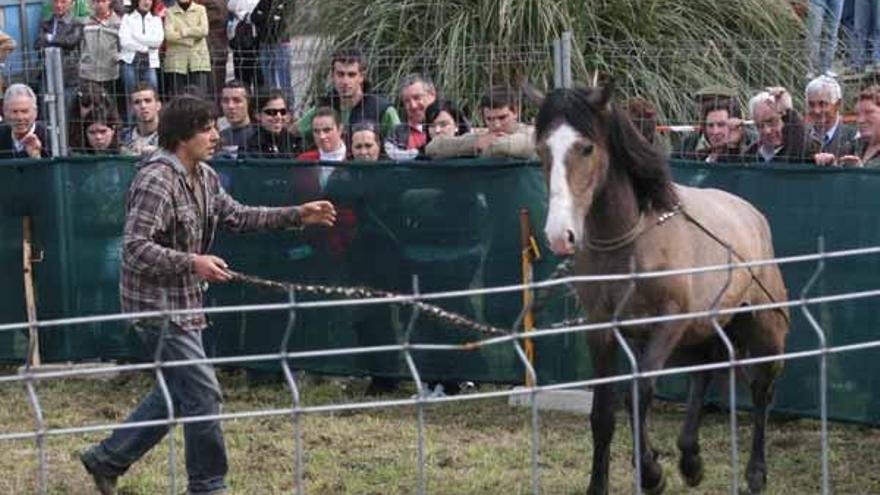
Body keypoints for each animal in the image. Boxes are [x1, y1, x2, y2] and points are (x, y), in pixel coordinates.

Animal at [532, 83, 796, 494]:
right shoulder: (601, 330)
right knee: (703, 372)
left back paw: (755, 472)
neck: (633, 240)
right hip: (701, 331)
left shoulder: (669, 324)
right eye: (542, 149)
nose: (561, 235)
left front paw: (652, 473)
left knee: (761, 391)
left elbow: (639, 392)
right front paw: (606, 481)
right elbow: (604, 413)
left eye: (587, 147)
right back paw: (691, 460)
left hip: (764, 329)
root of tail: (752, 216)